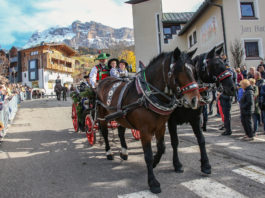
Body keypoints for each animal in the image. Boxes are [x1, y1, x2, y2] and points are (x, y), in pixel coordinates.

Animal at [96, 46, 199, 193]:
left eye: (194, 70)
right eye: (178, 71)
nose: (195, 100)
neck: (148, 94)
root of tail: (104, 81)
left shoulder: (161, 127)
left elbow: (161, 148)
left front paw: (156, 162)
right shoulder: (145, 131)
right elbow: (148, 156)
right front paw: (153, 182)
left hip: (120, 115)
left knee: (121, 132)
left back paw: (124, 151)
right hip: (102, 114)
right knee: (104, 133)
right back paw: (109, 152)